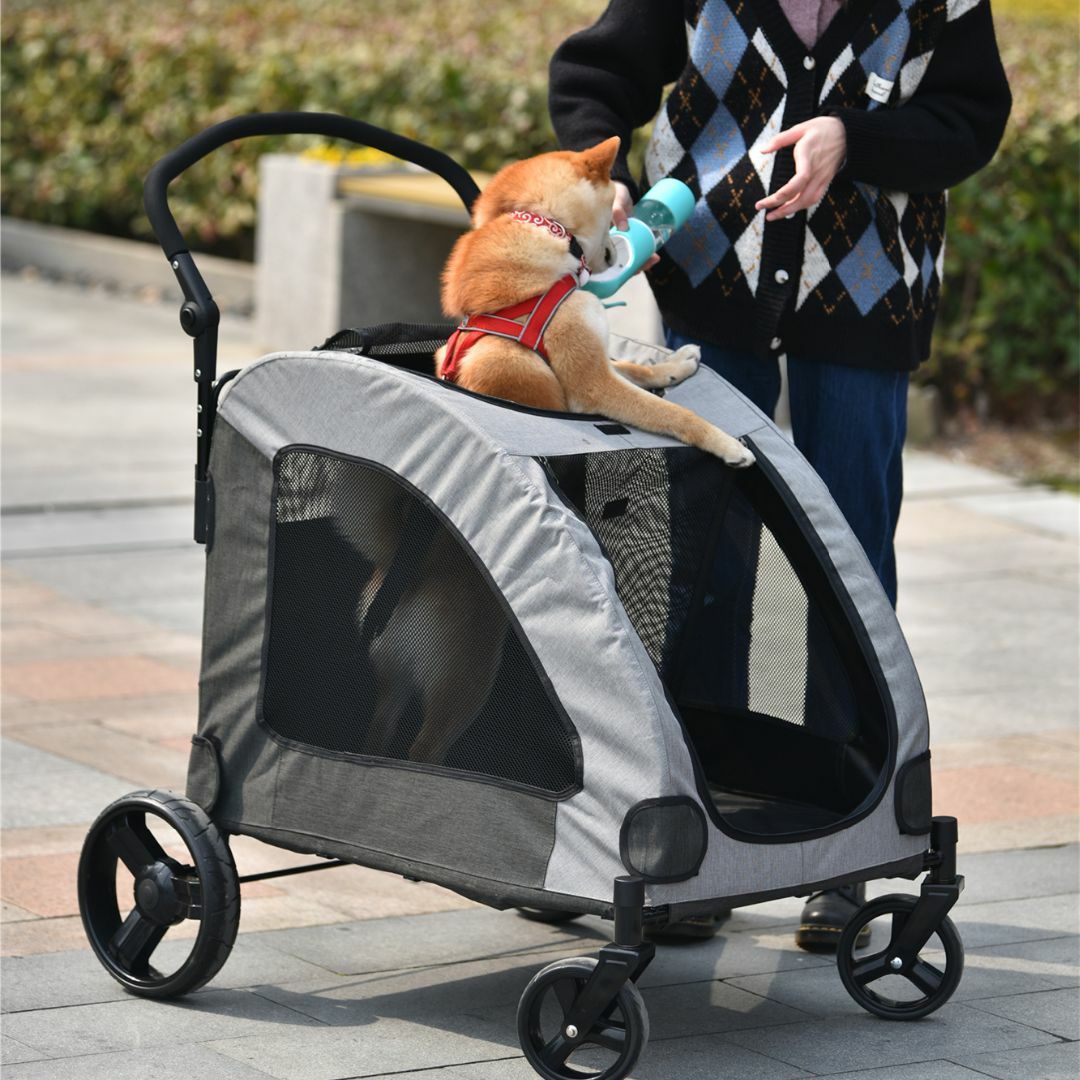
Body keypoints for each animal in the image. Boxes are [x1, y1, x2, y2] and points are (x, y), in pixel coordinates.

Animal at [434, 136, 756, 468]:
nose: (619, 243)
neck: (552, 230)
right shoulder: (593, 384)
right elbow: (674, 413)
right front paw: (727, 443)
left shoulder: (600, 358)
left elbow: (633, 368)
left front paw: (674, 365)